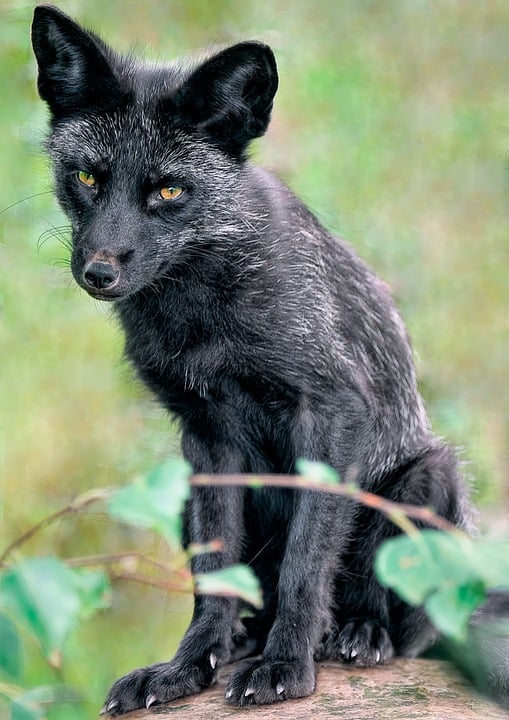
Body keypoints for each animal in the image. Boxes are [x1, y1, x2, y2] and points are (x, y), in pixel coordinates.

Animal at [30, 5, 492, 716]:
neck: (202, 319)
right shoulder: (205, 432)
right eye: (86, 178)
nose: (98, 272)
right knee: (254, 595)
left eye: (169, 191)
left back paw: (356, 635)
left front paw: (285, 667)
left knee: (391, 617)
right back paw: (243, 641)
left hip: (428, 478)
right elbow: (214, 575)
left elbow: (306, 563)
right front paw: (186, 668)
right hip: (182, 493)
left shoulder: (333, 411)